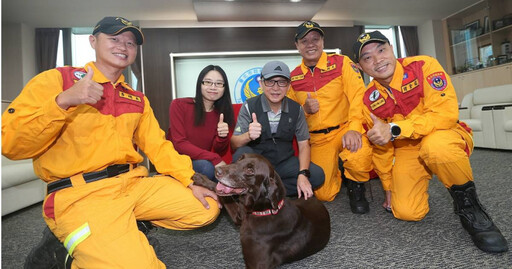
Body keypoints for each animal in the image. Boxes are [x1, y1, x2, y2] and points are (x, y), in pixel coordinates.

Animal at [194, 153, 330, 268]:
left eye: (250, 171)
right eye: (239, 159)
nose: (217, 171)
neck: (264, 211)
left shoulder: (256, 265)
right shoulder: (240, 216)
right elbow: (224, 196)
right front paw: (202, 178)